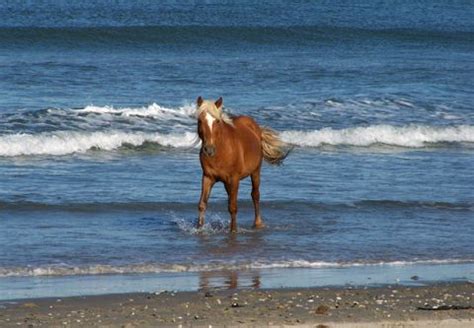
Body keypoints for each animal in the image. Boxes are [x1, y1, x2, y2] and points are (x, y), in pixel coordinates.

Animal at [195, 96, 288, 232]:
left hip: (255, 172)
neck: (222, 150)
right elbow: (202, 204)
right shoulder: (207, 177)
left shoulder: (234, 179)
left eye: (217, 121)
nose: (209, 150)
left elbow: (233, 207)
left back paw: (258, 223)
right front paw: (199, 229)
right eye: (200, 121)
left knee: (255, 195)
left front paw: (233, 231)